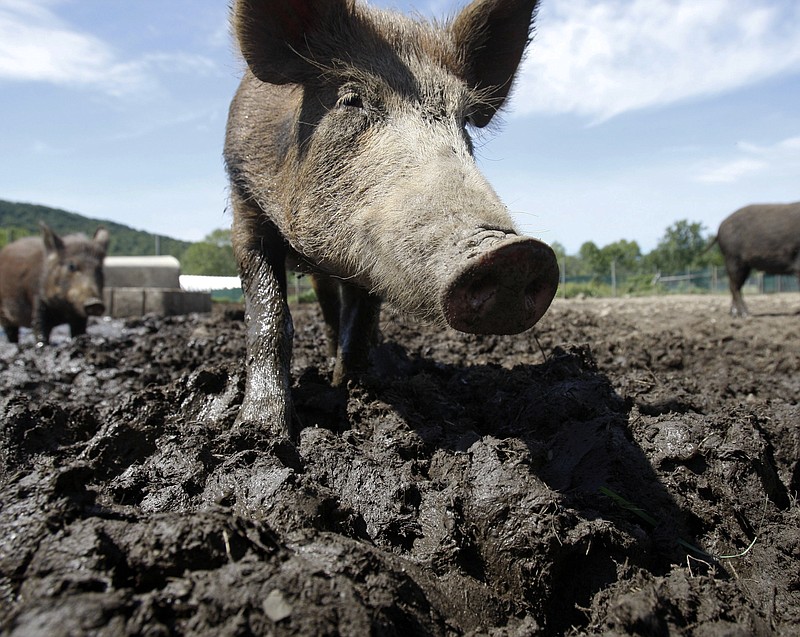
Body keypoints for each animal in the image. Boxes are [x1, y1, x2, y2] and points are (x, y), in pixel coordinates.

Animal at [225, 0, 560, 438]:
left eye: (464, 120)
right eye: (351, 99)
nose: (515, 253)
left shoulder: (368, 255)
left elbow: (361, 317)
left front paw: (355, 389)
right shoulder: (245, 206)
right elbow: (269, 315)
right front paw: (259, 432)